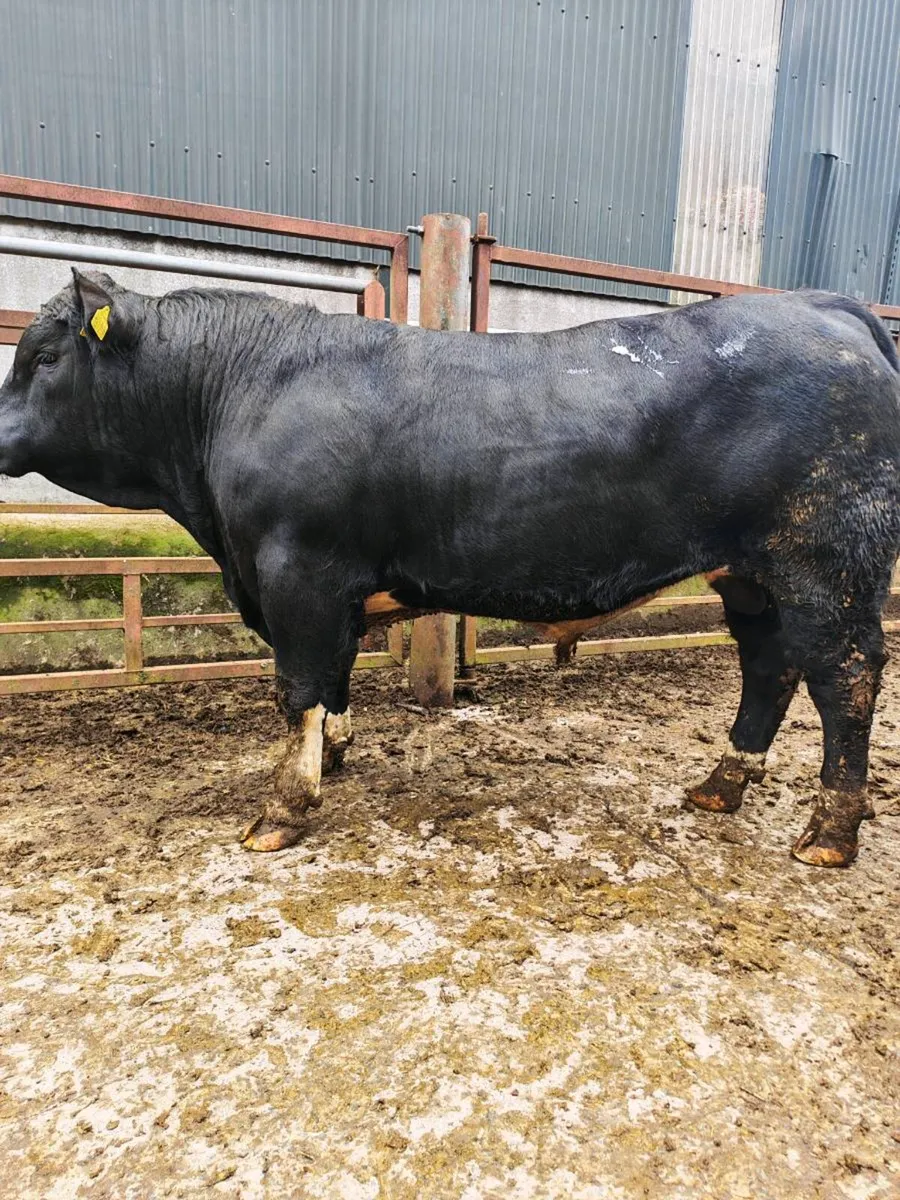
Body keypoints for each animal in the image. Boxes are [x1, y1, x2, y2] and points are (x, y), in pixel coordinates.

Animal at [1, 272, 898, 868]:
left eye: (42, 357)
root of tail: (819, 304)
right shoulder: (325, 586)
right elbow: (332, 681)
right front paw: (334, 754)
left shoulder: (295, 569)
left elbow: (296, 688)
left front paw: (283, 809)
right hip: (750, 573)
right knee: (769, 667)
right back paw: (722, 784)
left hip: (827, 561)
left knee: (845, 679)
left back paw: (828, 833)